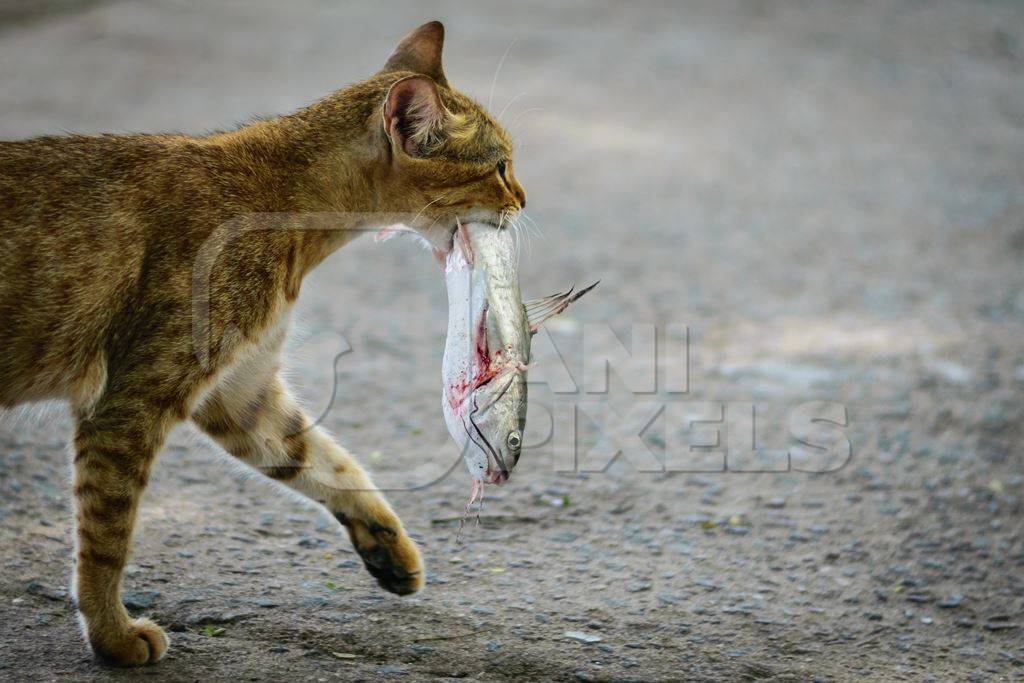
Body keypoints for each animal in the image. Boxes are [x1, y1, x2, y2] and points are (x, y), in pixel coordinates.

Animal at [0, 22, 524, 667]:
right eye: (500, 166)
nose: (524, 199)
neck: (281, 198)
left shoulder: (241, 392)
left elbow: (329, 462)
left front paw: (389, 547)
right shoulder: (131, 401)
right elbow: (105, 535)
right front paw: (111, 634)